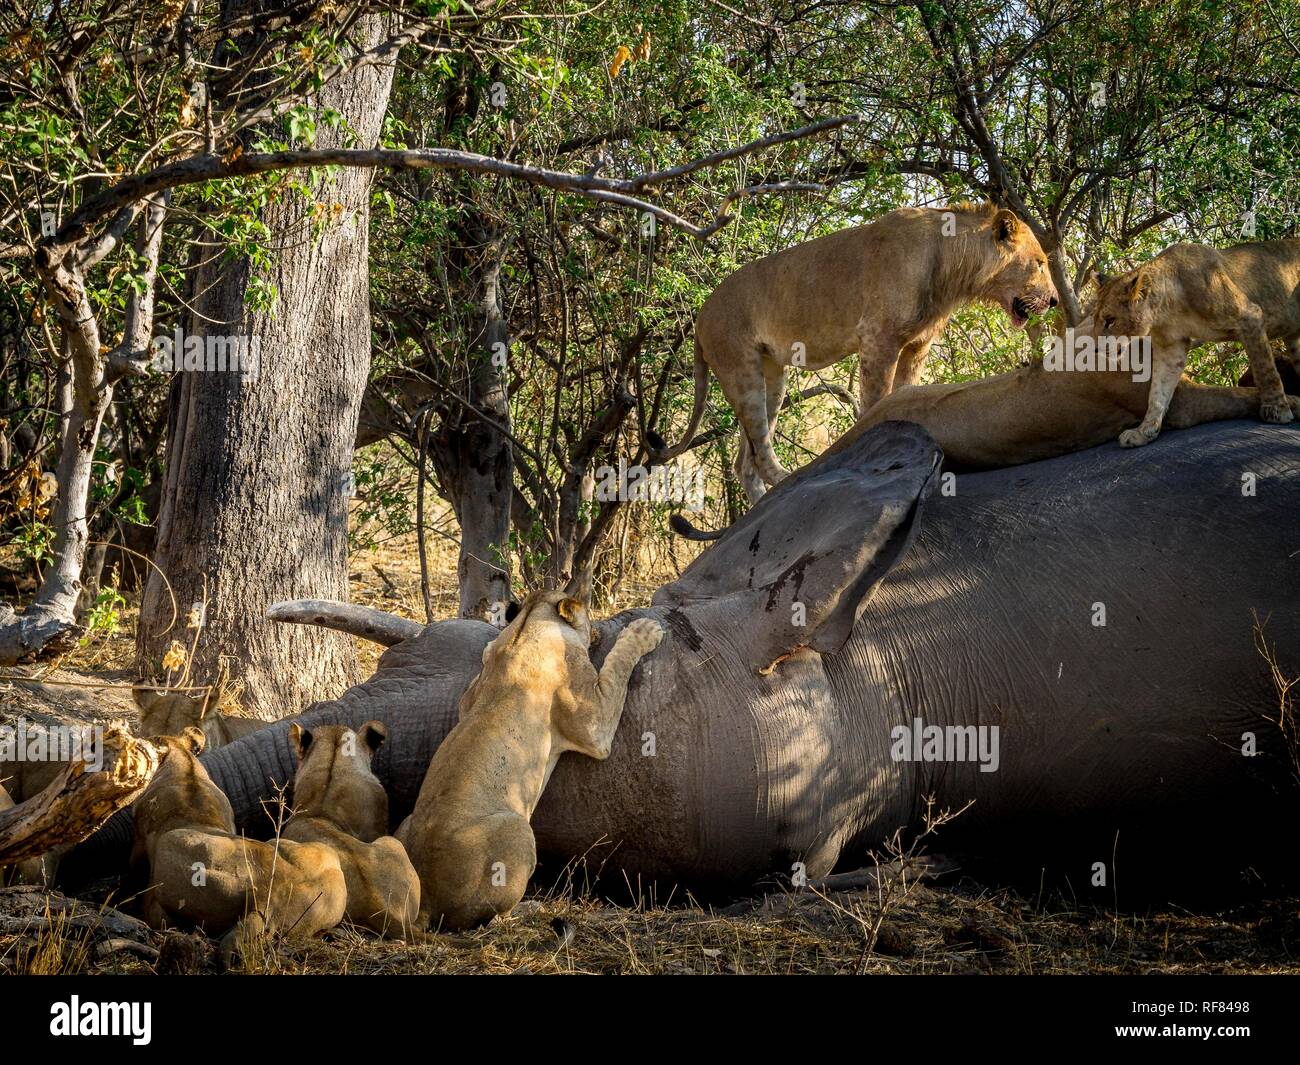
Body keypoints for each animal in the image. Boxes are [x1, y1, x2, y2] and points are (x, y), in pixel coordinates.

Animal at [396, 591, 665, 931]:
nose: (596, 630)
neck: (528, 626)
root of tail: (425, 903)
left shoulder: (470, 696)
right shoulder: (595, 728)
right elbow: (616, 668)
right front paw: (643, 632)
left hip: (406, 824)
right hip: (519, 828)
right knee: (495, 918)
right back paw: (532, 908)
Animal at [651, 202, 1059, 501]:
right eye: (1039, 263)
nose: (1055, 300)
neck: (952, 267)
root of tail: (700, 315)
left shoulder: (916, 346)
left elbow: (904, 395)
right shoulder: (879, 338)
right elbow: (875, 402)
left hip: (772, 377)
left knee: (745, 462)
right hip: (741, 370)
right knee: (759, 453)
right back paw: (791, 480)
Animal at [1093, 239, 1300, 448]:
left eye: (1110, 320)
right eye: (1095, 319)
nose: (1094, 348)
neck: (1170, 307)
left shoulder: (1249, 316)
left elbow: (1265, 370)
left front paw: (1277, 409)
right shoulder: (1171, 347)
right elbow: (1158, 392)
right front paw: (1144, 432)